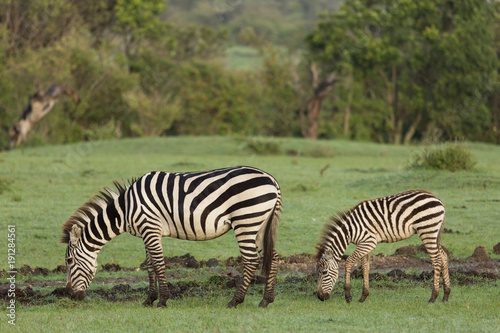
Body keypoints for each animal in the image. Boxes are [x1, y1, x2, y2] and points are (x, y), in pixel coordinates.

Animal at [61, 165, 282, 308]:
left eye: (69, 261)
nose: (70, 295)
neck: (126, 210)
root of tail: (272, 179)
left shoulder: (150, 228)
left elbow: (159, 264)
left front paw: (163, 300)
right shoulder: (146, 232)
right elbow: (149, 265)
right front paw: (149, 299)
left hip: (246, 220)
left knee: (251, 260)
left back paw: (235, 301)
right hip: (261, 224)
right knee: (273, 257)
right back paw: (266, 300)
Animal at [318, 188, 452, 302]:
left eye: (324, 272)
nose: (320, 297)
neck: (350, 230)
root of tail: (437, 199)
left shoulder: (369, 242)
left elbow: (349, 262)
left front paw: (348, 295)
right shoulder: (365, 244)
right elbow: (365, 267)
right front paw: (363, 296)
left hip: (427, 230)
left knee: (436, 261)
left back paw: (433, 297)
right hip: (433, 233)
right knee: (443, 256)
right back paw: (445, 295)